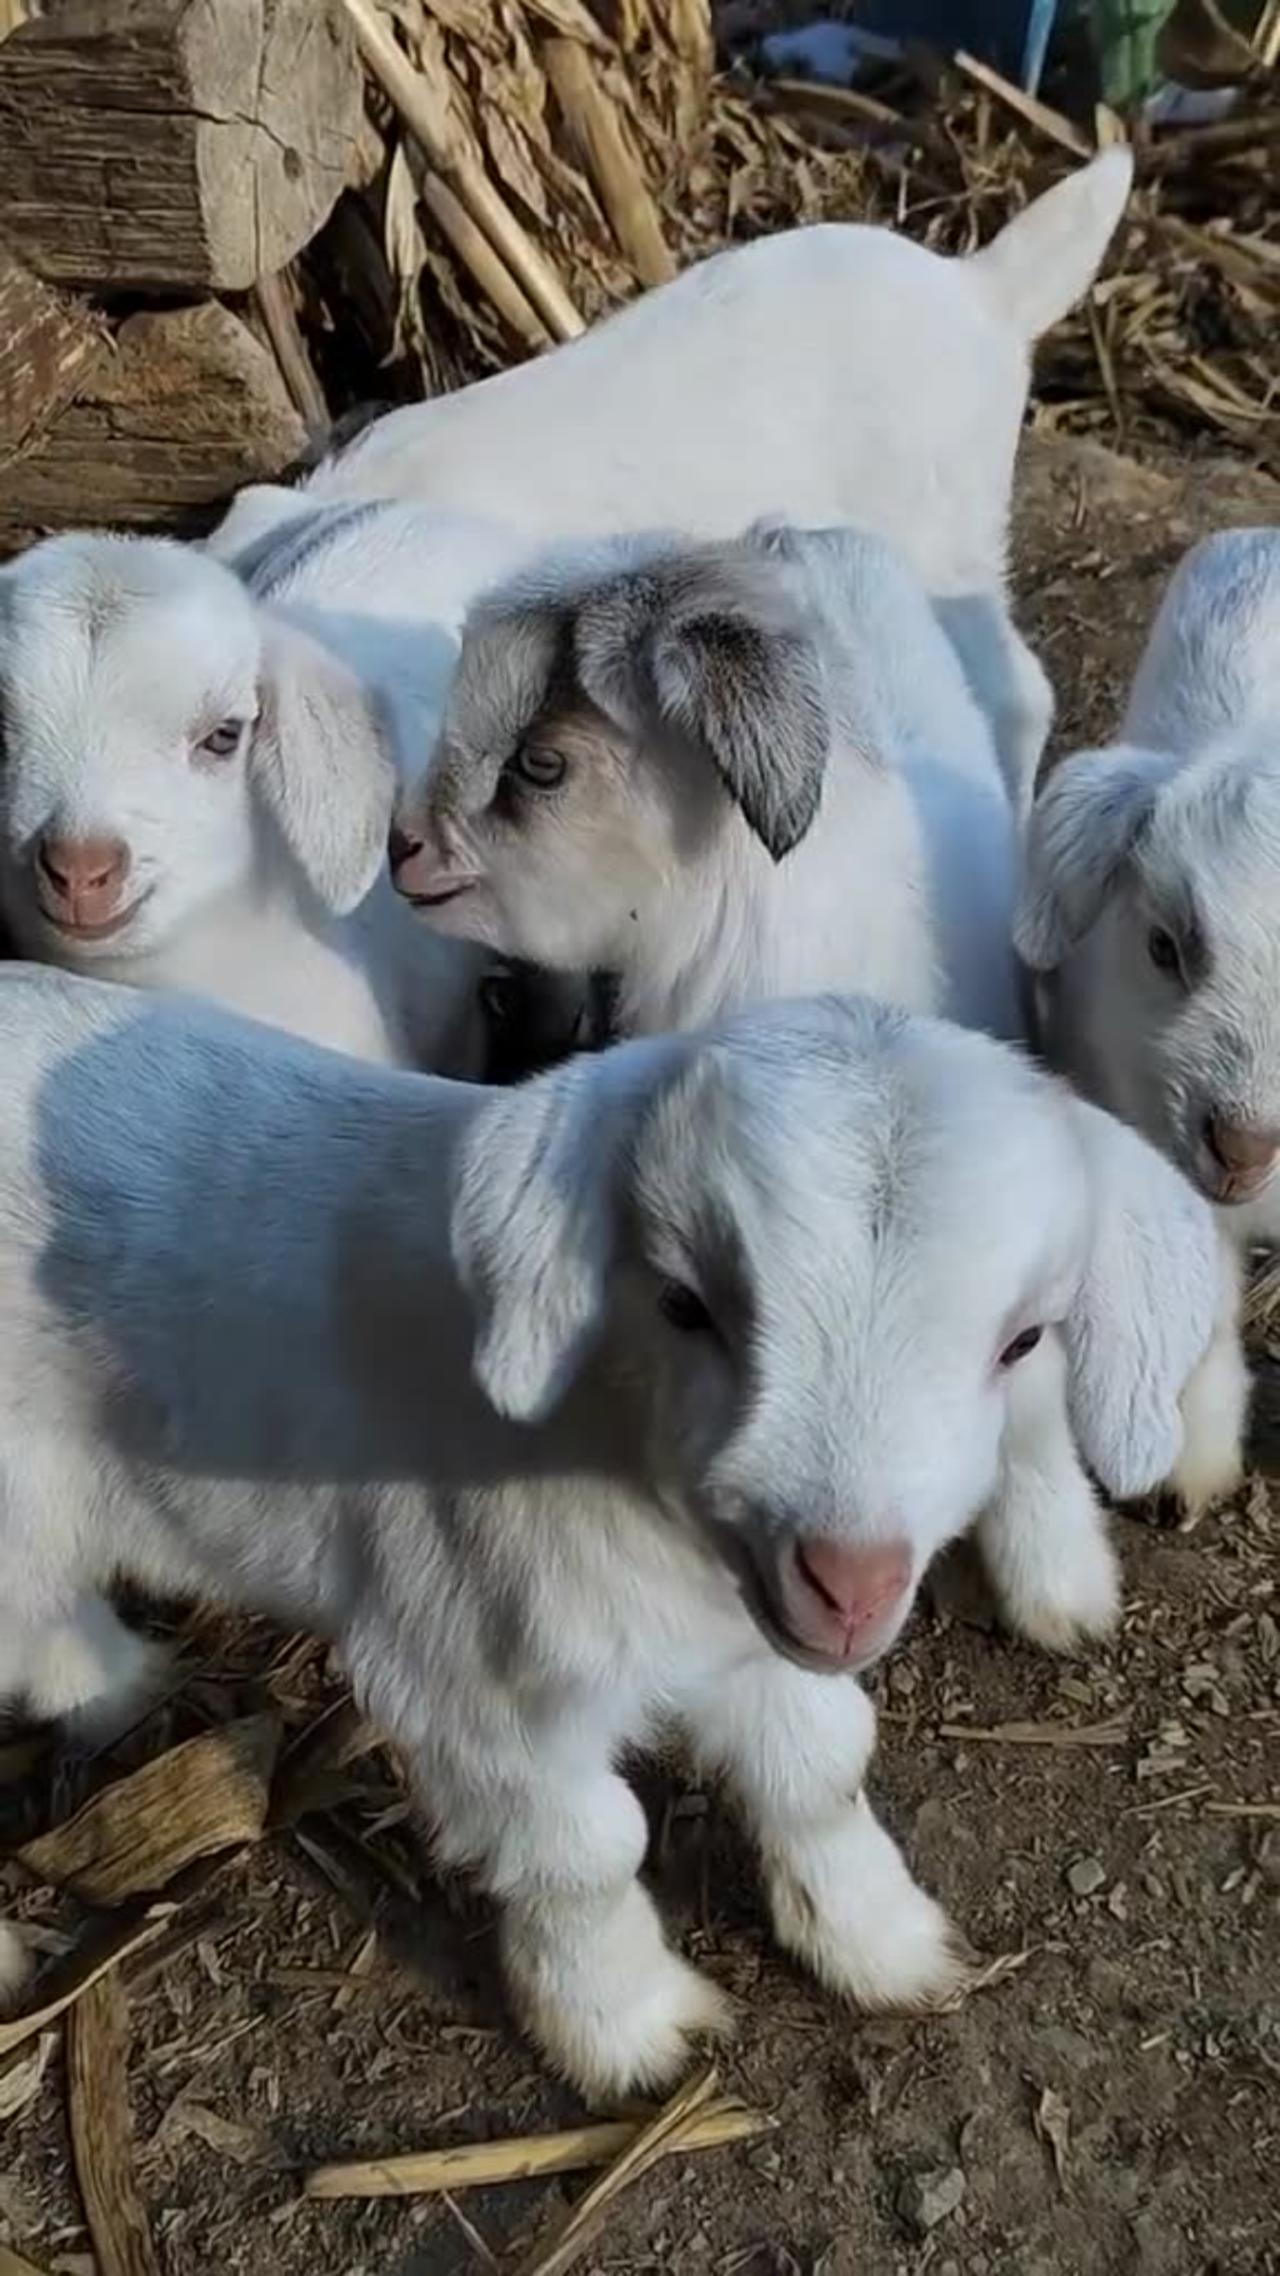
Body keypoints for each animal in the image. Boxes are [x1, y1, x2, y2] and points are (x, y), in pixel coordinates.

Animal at [0, 969, 1229, 2084]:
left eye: (1023, 1341)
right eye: (683, 1300)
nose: (849, 1581)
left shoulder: (750, 1628)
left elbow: (819, 1765)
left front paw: (881, 1939)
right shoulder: (469, 1670)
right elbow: (585, 1851)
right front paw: (628, 2028)